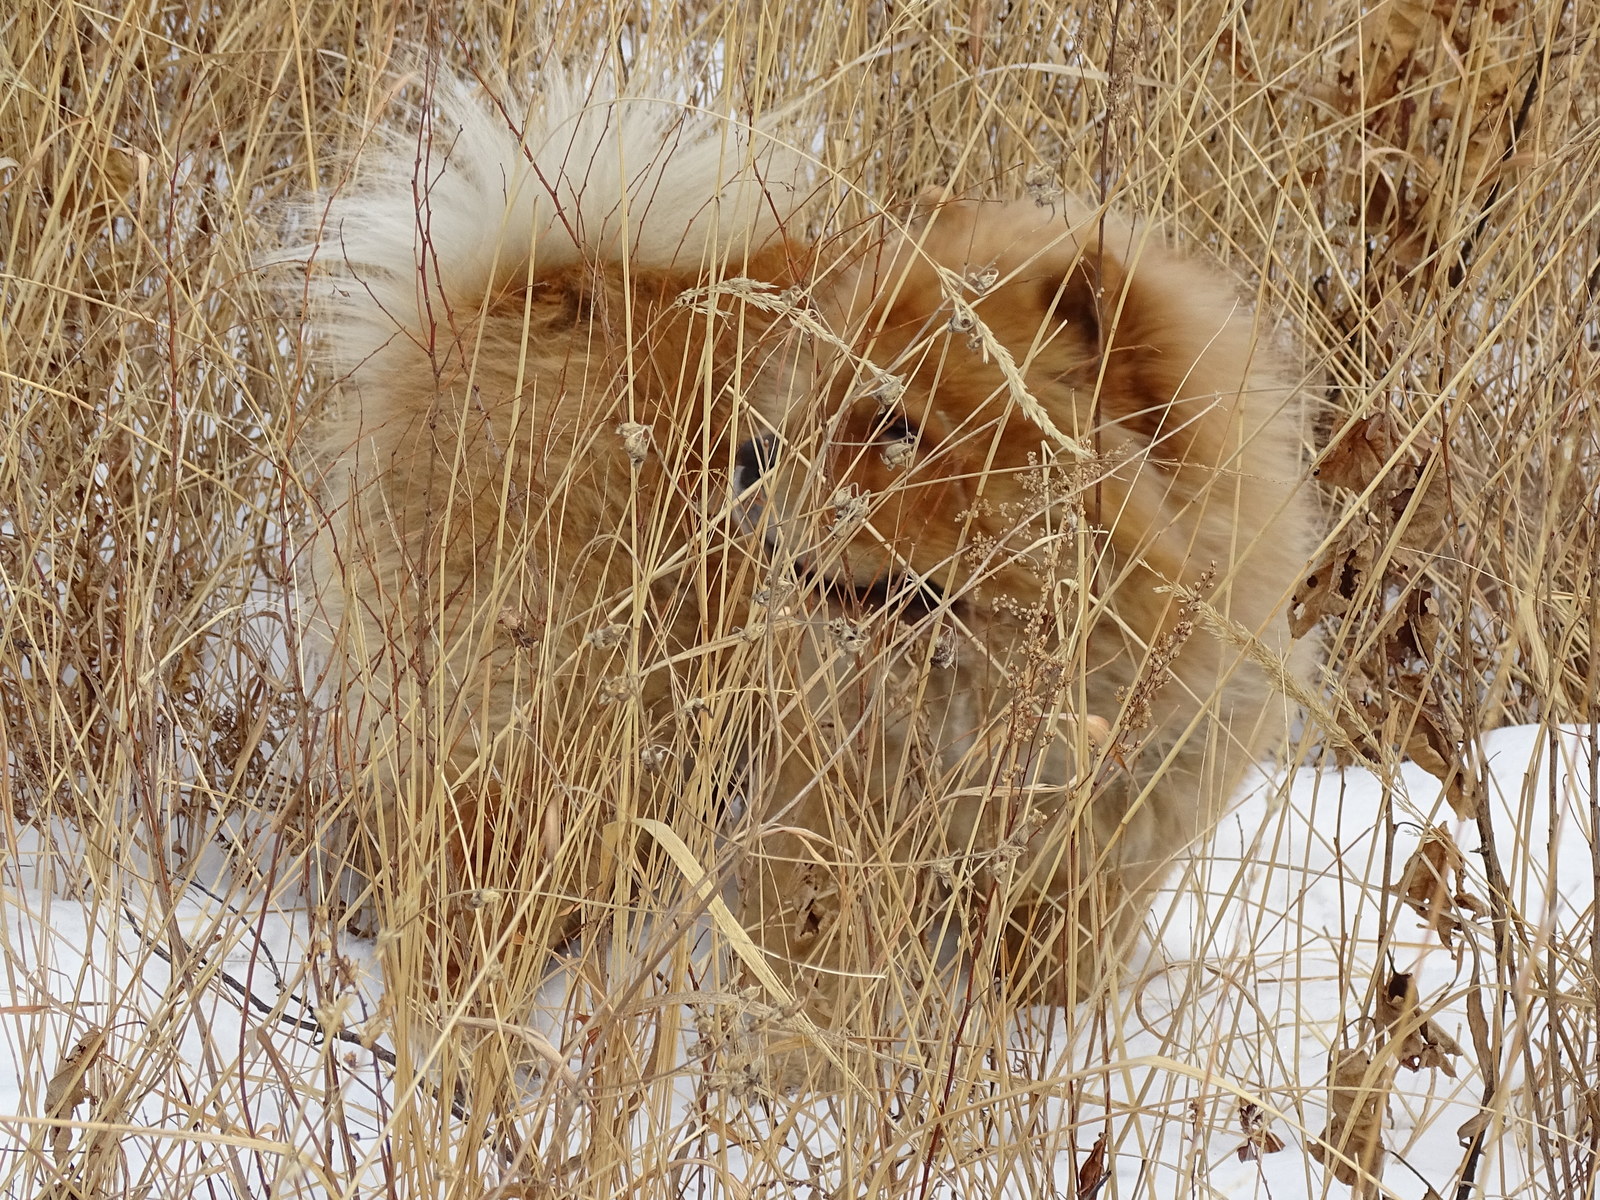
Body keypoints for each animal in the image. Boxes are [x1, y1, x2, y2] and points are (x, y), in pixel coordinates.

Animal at [294, 75, 1318, 1049]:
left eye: (899, 426)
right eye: (824, 390)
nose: (750, 456)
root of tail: (510, 296)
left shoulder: (1102, 861)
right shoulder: (825, 823)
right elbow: (817, 973)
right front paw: (798, 1073)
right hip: (564, 705)